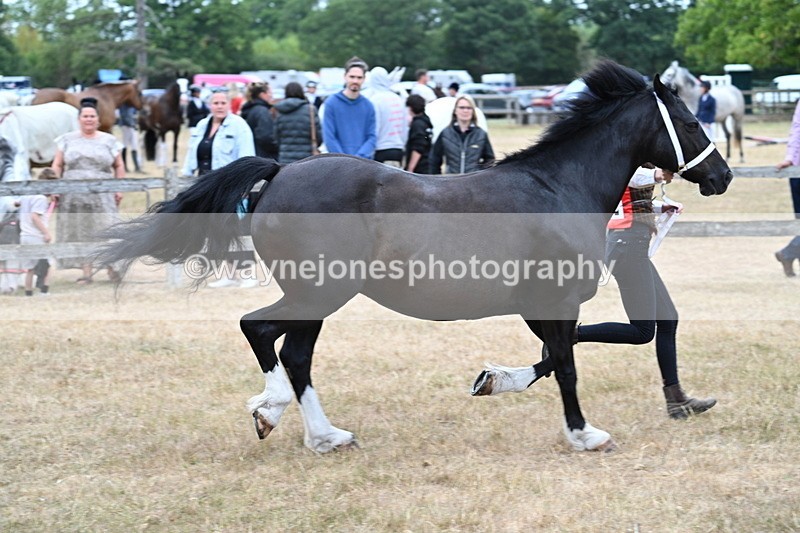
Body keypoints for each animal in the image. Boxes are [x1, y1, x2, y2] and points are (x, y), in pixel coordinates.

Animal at [97, 61, 733, 454]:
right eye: (690, 119)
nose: (722, 176)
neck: (558, 187)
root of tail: (278, 172)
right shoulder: (554, 300)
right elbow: (567, 363)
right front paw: (585, 435)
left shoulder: (539, 306)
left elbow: (557, 356)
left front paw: (493, 380)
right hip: (319, 290)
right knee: (260, 331)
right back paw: (275, 412)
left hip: (317, 297)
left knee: (295, 355)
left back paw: (325, 436)